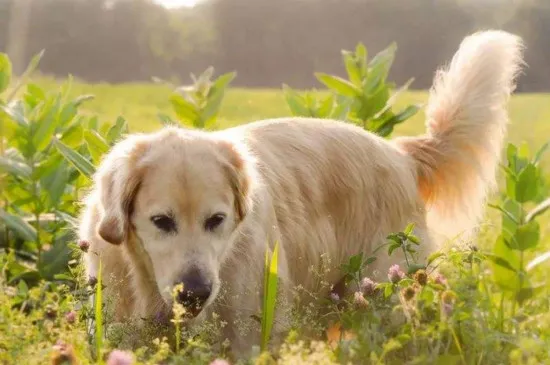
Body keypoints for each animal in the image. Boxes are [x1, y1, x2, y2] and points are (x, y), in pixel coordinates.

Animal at [78, 31, 528, 356]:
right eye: (161, 221)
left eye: (216, 221)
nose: (195, 293)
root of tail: (399, 153)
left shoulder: (249, 335)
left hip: (387, 297)